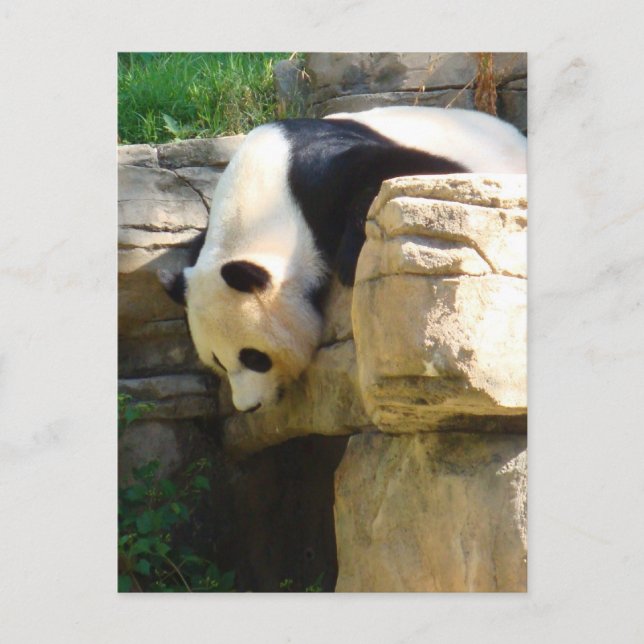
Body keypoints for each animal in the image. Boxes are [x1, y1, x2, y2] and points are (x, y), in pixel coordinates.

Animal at [159, 106, 527, 413]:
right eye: (218, 361)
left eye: (254, 357)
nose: (248, 407)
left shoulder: (316, 176)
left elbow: (399, 171)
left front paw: (349, 263)